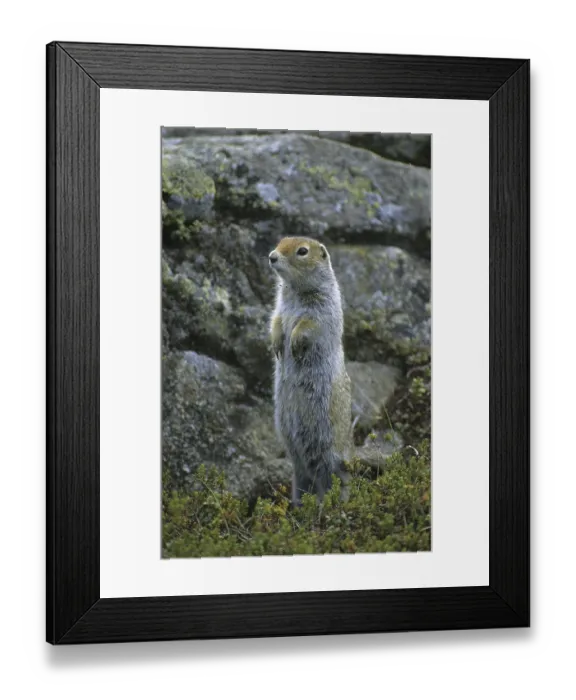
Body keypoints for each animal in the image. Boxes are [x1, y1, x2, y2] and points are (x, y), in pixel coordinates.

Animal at [269, 237, 353, 506]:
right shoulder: (279, 308)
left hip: (327, 451)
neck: (295, 289)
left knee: (331, 481)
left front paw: (294, 343)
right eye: (280, 241)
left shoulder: (322, 311)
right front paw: (277, 344)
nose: (272, 256)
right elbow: (276, 320)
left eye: (302, 251)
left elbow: (307, 325)